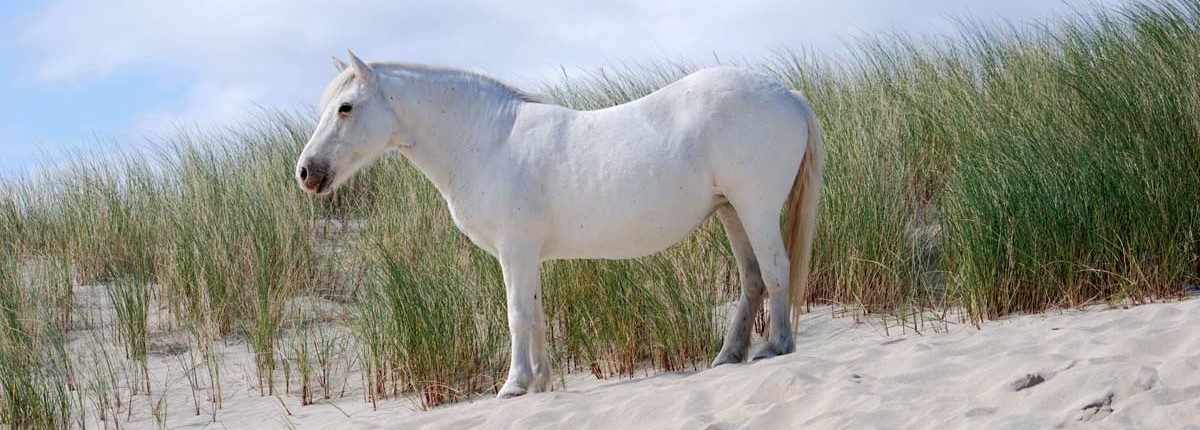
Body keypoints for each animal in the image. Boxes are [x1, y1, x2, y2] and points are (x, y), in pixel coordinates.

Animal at [296, 51, 825, 399]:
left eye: (345, 107)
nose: (306, 172)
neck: (487, 139)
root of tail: (789, 94)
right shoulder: (527, 254)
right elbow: (536, 315)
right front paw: (539, 383)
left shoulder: (515, 249)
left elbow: (516, 314)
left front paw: (513, 385)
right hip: (731, 211)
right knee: (753, 279)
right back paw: (728, 356)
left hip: (755, 207)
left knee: (775, 270)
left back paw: (775, 347)